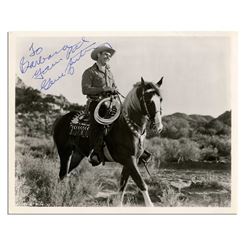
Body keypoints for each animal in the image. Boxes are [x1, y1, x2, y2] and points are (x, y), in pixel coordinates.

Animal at [52, 77, 164, 206]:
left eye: (160, 99)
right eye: (147, 99)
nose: (158, 126)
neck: (126, 127)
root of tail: (61, 119)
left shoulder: (131, 161)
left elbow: (122, 186)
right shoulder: (129, 159)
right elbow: (141, 183)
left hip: (76, 155)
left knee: (64, 175)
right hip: (64, 152)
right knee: (62, 175)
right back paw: (58, 196)